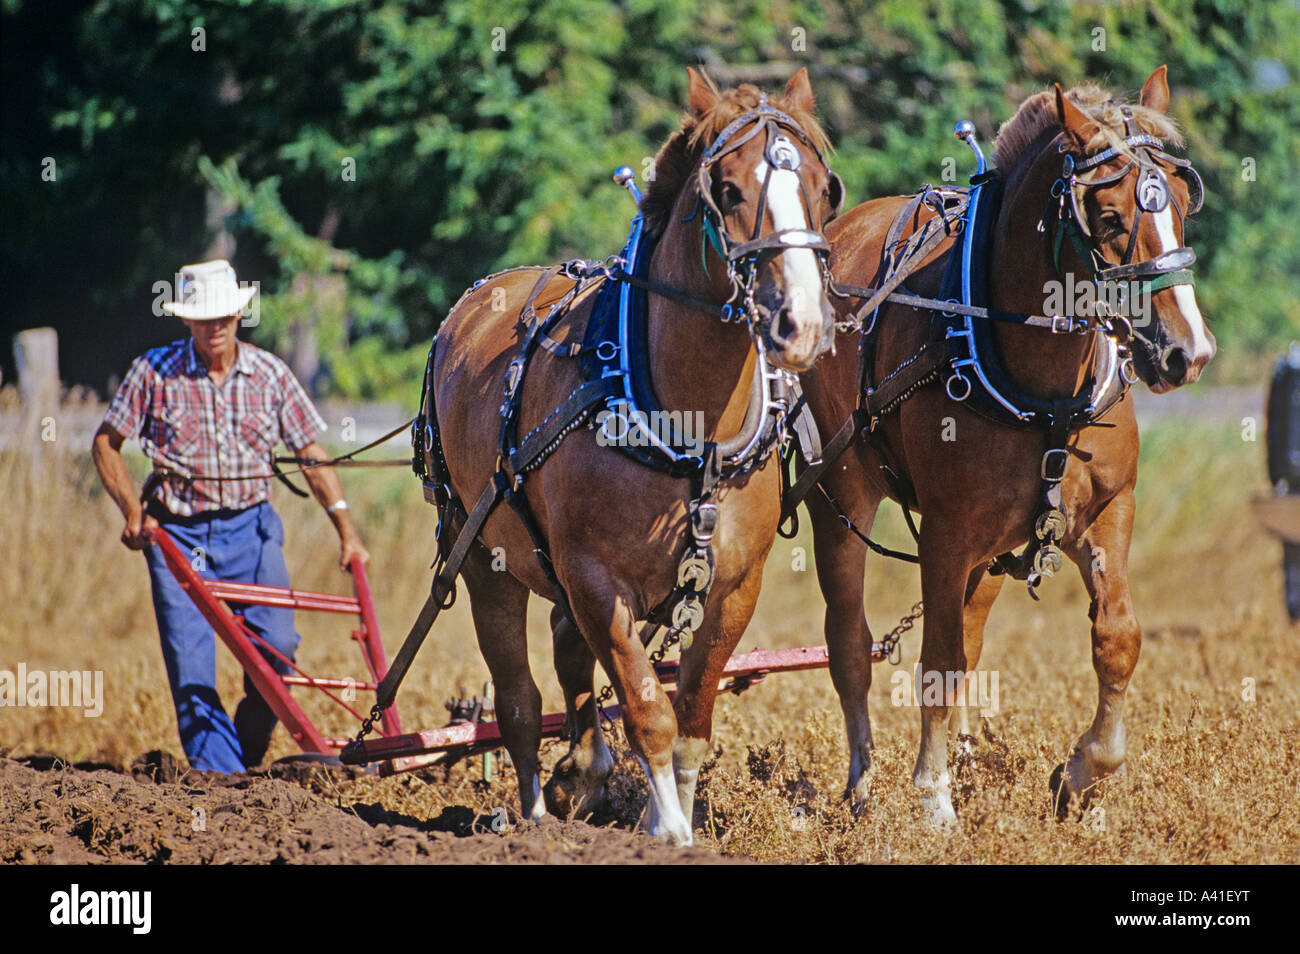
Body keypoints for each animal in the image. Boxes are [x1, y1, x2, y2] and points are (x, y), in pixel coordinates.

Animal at [436, 69, 837, 842]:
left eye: (824, 190)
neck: (689, 431)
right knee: (519, 699)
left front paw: (665, 811)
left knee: (565, 649)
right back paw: (536, 815)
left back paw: (580, 775)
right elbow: (647, 706)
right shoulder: (596, 579)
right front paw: (670, 832)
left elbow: (692, 717)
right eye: (729, 191)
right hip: (483, 555)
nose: (800, 324)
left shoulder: (734, 588)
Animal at [806, 69, 1211, 831]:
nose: (1188, 353)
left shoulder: (1105, 513)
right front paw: (932, 799)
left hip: (994, 544)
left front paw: (1082, 776)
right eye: (1108, 219)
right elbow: (936, 661)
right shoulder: (947, 532)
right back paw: (863, 785)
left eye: (1179, 203)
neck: (1042, 392)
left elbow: (1118, 638)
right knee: (849, 644)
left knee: (970, 629)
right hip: (838, 496)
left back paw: (965, 759)